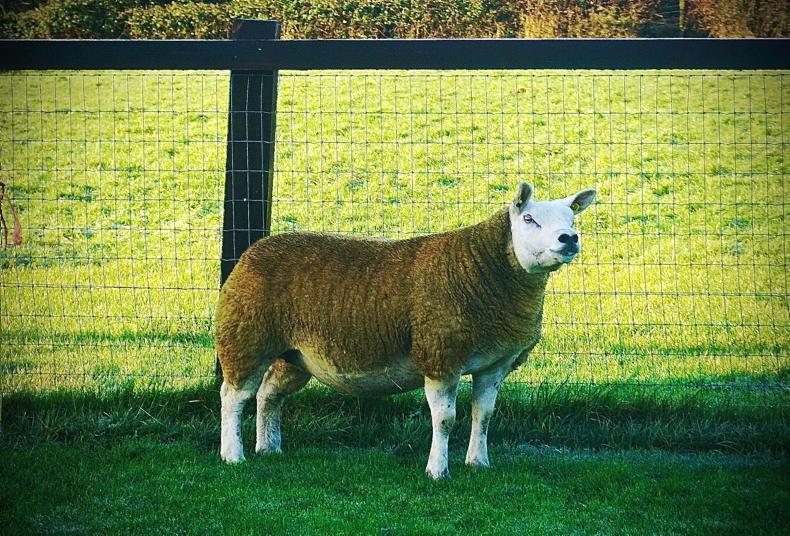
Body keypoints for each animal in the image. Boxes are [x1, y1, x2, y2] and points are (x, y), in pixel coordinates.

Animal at [216, 182, 596, 478]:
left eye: (572, 218)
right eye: (529, 219)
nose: (569, 238)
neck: (482, 269)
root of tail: (255, 249)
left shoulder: (496, 364)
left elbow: (484, 414)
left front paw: (478, 463)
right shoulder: (440, 357)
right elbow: (445, 419)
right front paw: (438, 471)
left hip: (293, 355)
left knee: (269, 394)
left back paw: (268, 448)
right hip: (246, 337)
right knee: (233, 397)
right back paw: (233, 455)